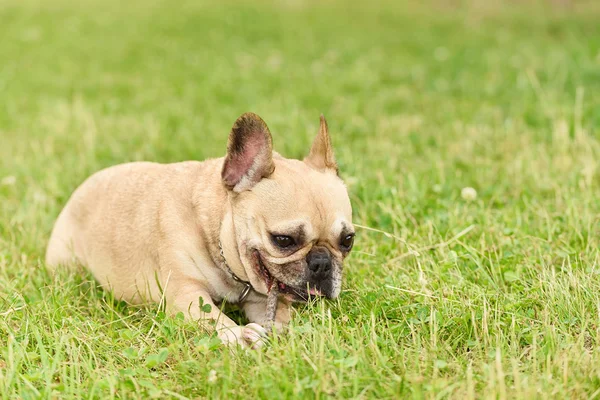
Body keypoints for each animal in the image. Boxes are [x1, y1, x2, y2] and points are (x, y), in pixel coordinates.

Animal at [48, 111, 356, 346]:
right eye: (283, 240)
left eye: (348, 240)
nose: (322, 263)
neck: (213, 227)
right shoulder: (187, 295)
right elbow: (215, 319)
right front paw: (238, 335)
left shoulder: (262, 301)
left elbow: (279, 318)